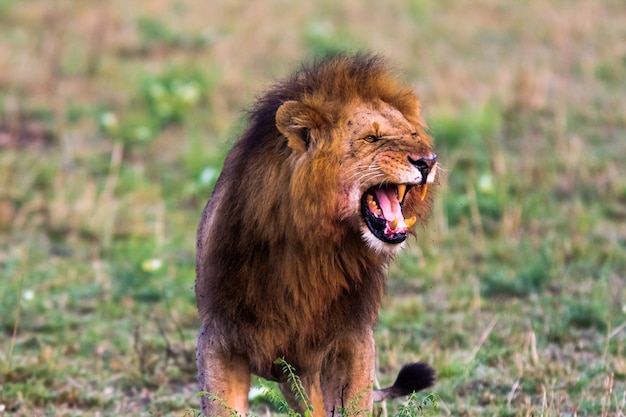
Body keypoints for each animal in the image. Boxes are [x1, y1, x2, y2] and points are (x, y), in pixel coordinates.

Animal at [194, 52, 434, 416]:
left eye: (413, 133)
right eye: (371, 138)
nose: (429, 161)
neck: (312, 245)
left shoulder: (350, 340)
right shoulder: (219, 339)